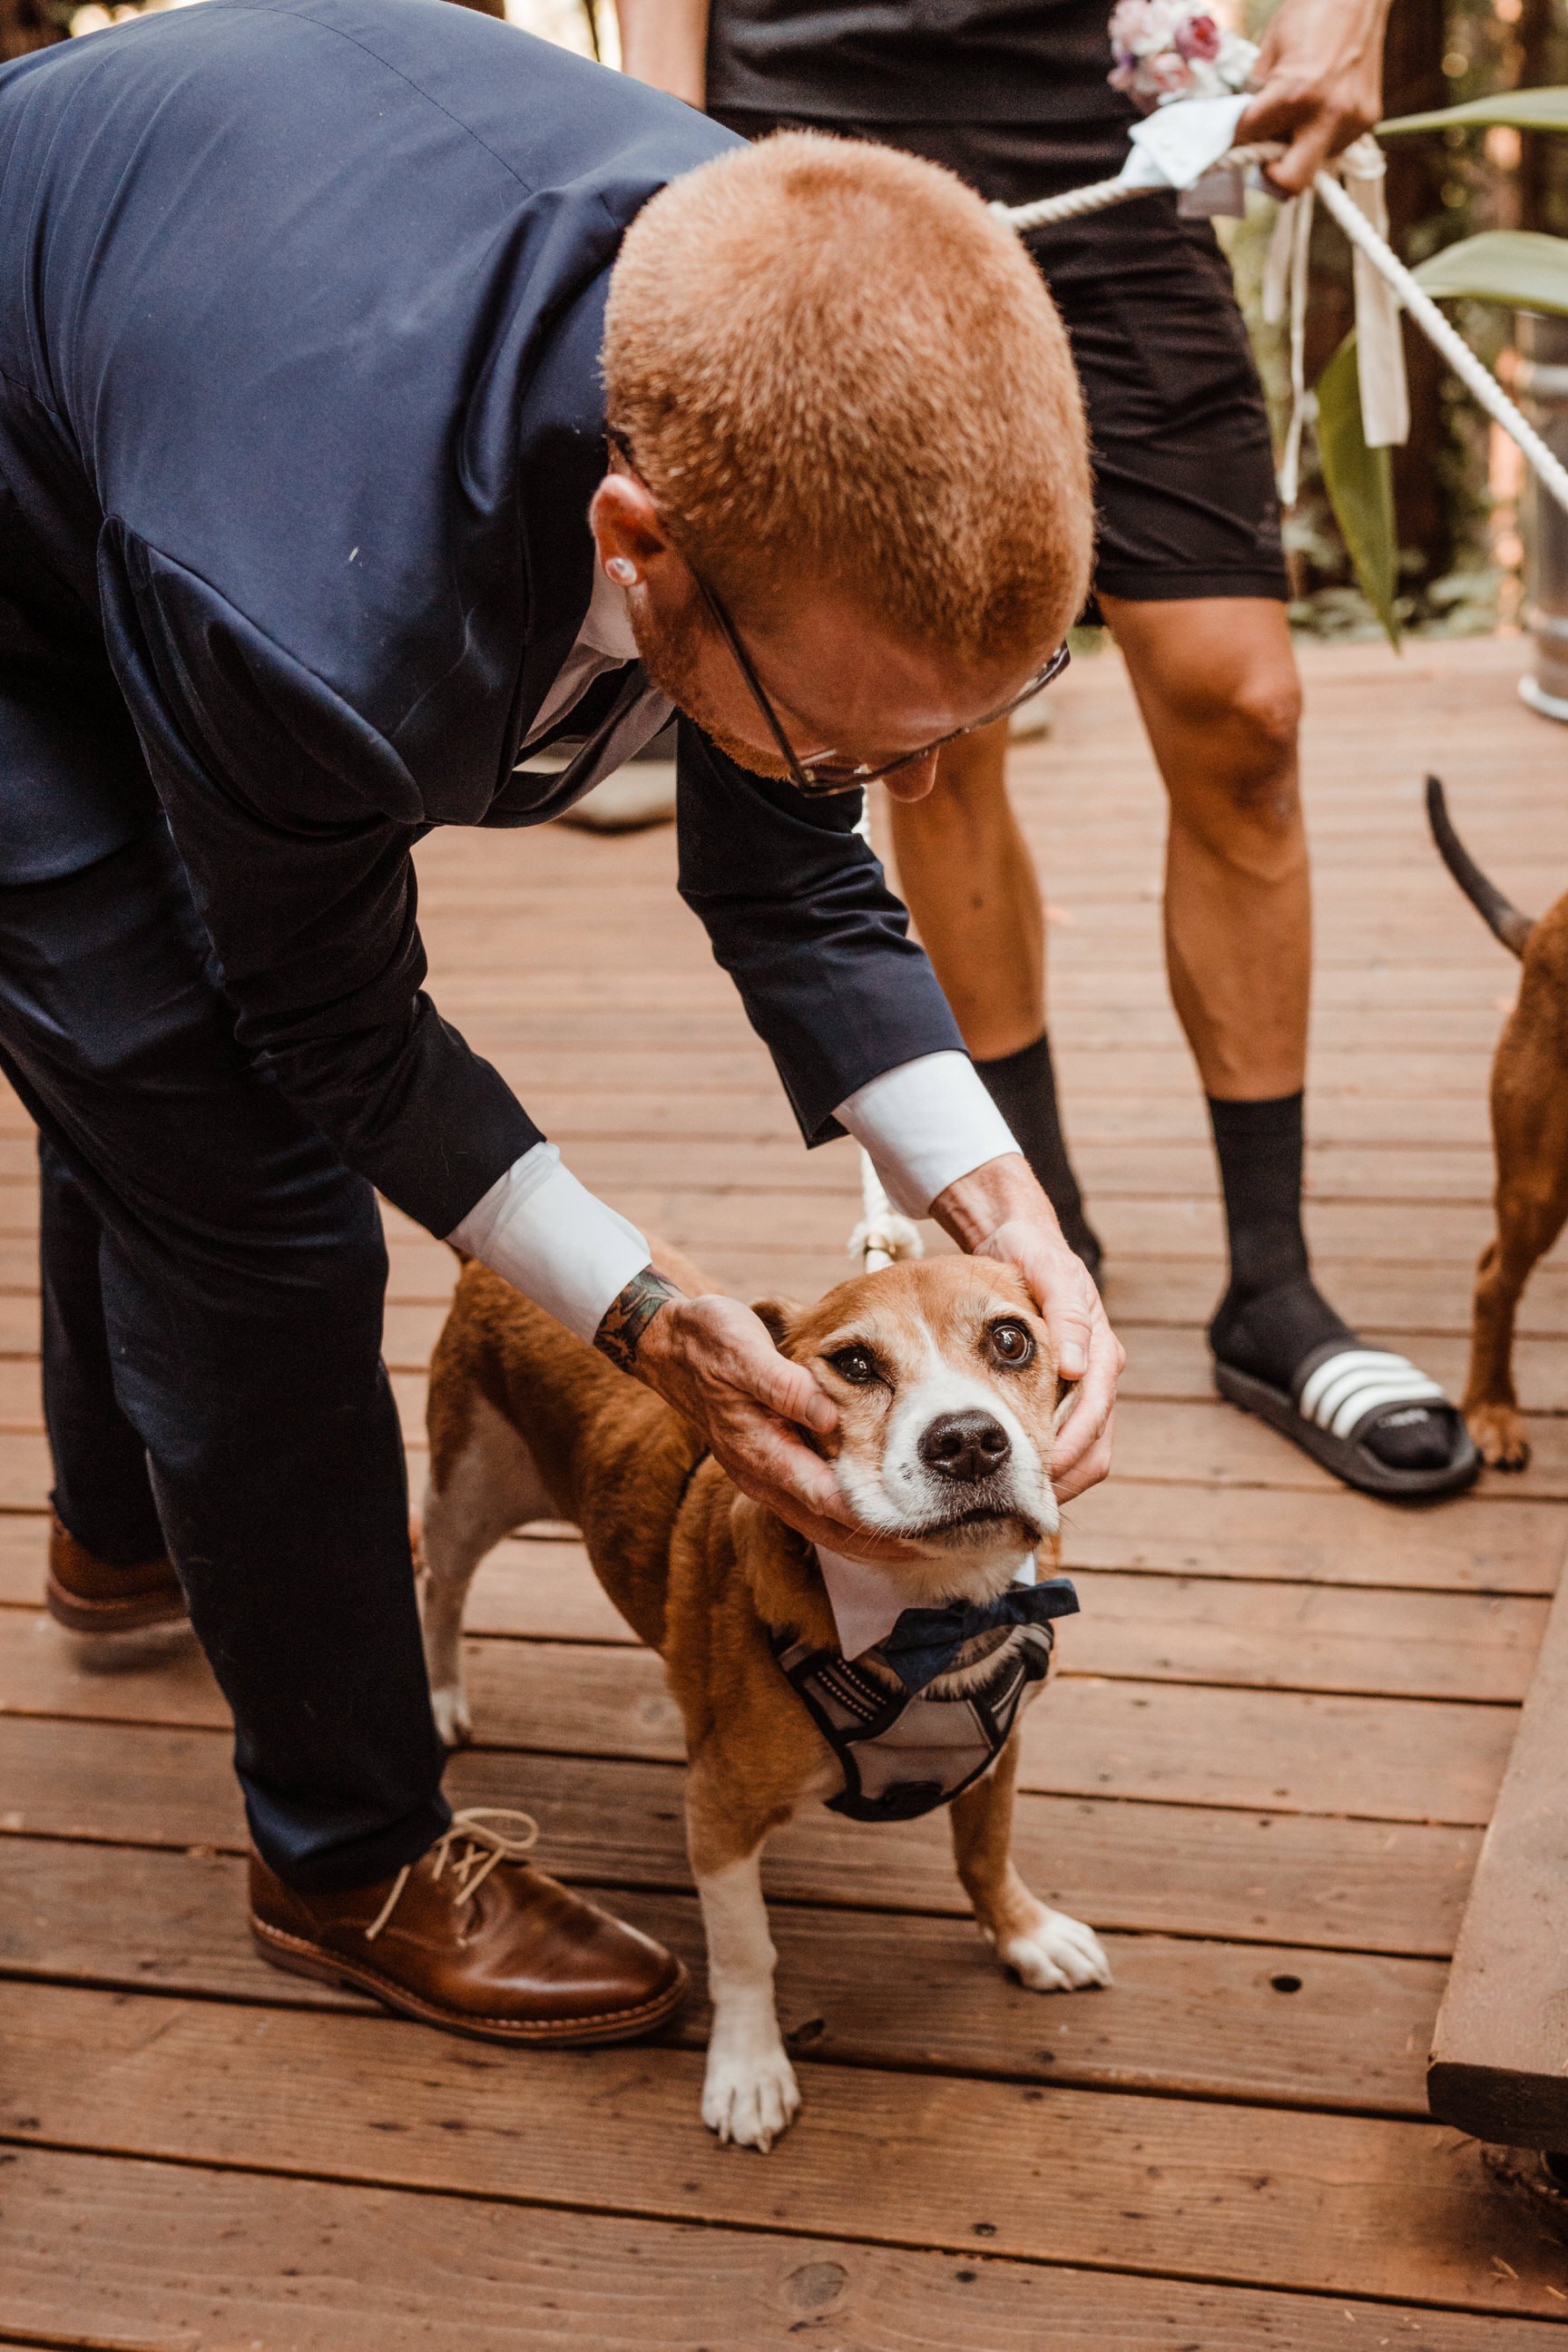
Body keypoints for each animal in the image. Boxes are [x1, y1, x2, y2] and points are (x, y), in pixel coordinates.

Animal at [416, 1250, 1113, 2154]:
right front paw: (748, 2069)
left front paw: (1027, 1935)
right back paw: (438, 1694)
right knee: (438, 1579)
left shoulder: (1003, 1751)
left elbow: (985, 1854)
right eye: (854, 1364)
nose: (967, 1440)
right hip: (467, 1493)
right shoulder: (720, 1811)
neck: (936, 1615)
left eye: (1010, 1340)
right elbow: (746, 1950)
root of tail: (479, 1268)